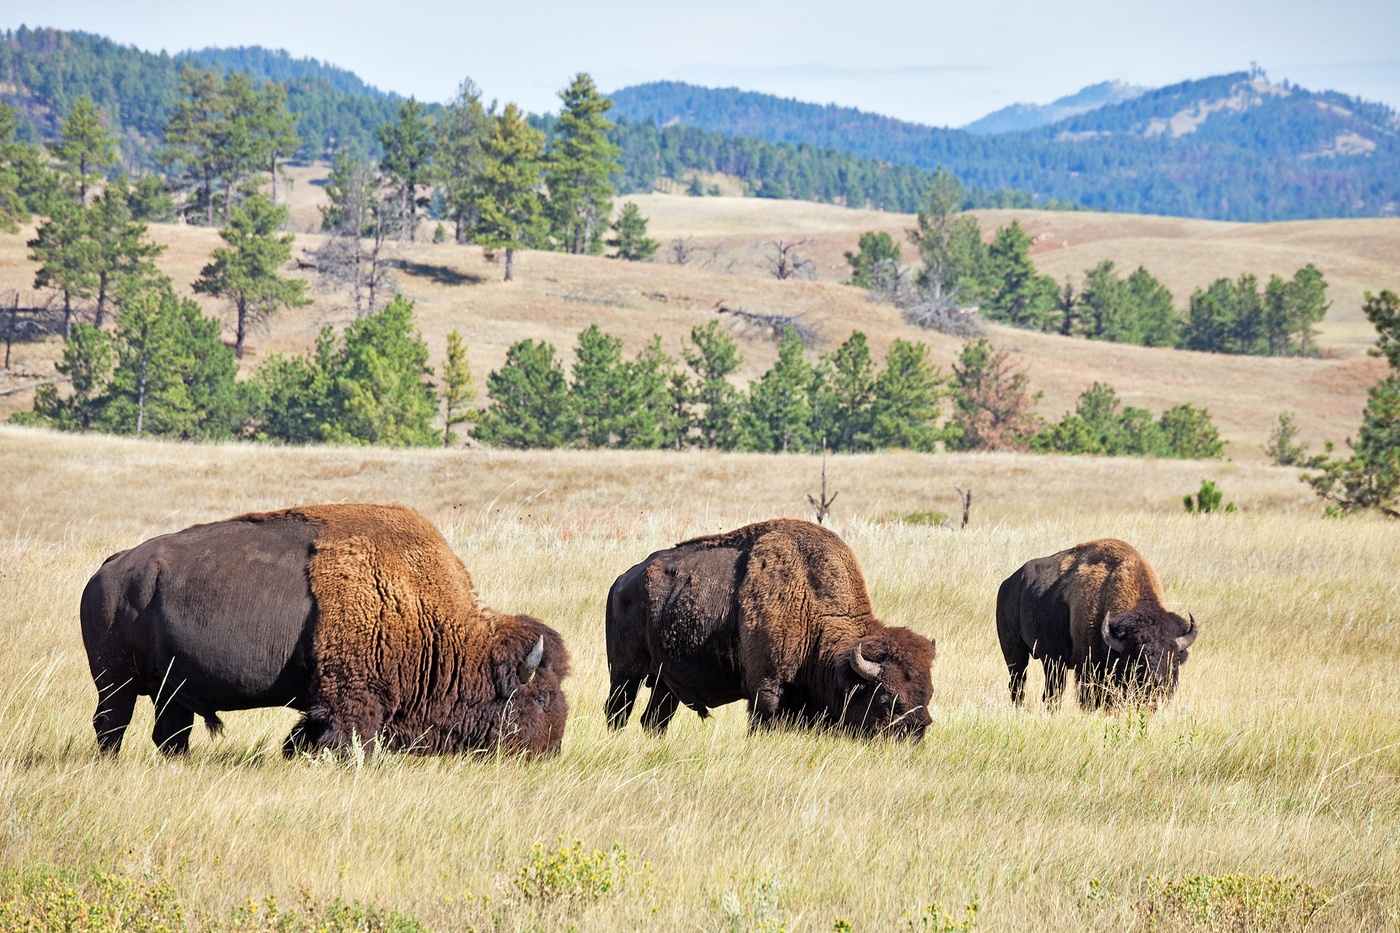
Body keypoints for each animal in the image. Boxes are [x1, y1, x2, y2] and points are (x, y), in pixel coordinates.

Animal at [75, 501, 568, 756]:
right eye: (540, 698)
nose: (550, 750)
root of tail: (109, 568)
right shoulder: (351, 702)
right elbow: (346, 741)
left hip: (170, 691)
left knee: (170, 734)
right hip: (115, 683)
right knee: (111, 726)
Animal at [599, 518, 929, 739]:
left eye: (927, 695)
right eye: (886, 698)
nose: (917, 732)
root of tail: (621, 581)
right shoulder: (766, 690)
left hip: (665, 683)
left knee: (653, 720)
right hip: (625, 673)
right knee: (618, 711)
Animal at [996, 535, 1204, 708]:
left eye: (1174, 663)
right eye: (1137, 662)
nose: (1157, 688)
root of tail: (1008, 583)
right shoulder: (1088, 669)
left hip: (1053, 662)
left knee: (1052, 692)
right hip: (1015, 652)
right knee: (1018, 684)